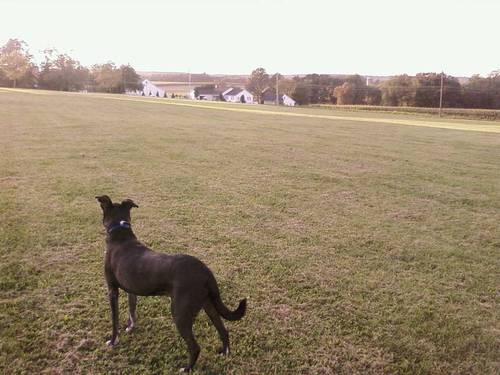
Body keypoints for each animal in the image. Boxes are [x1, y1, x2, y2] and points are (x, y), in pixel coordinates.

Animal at [95, 197, 246, 374]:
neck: (120, 233)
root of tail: (205, 271)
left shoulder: (112, 290)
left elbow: (115, 320)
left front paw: (113, 341)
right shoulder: (131, 291)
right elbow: (132, 311)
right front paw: (131, 327)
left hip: (180, 313)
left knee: (195, 347)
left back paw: (186, 368)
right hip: (208, 304)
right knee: (223, 330)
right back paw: (225, 353)